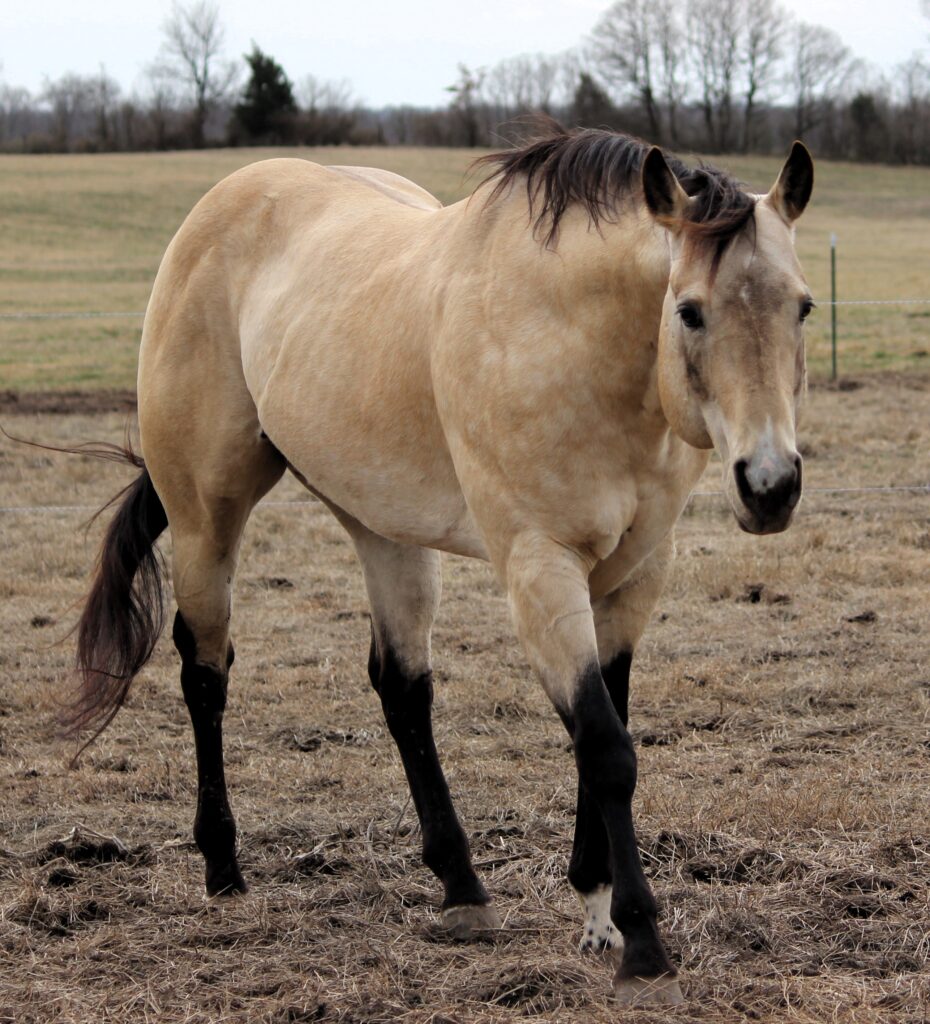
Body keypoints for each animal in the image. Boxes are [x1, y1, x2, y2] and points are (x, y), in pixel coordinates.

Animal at [69, 128, 811, 1007]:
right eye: (689, 310)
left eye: (802, 307)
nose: (770, 485)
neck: (577, 341)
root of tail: (216, 211)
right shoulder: (538, 569)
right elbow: (606, 748)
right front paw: (642, 943)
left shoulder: (635, 572)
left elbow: (605, 733)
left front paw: (595, 910)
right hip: (204, 520)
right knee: (205, 672)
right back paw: (224, 867)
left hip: (380, 524)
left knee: (402, 687)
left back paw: (461, 886)